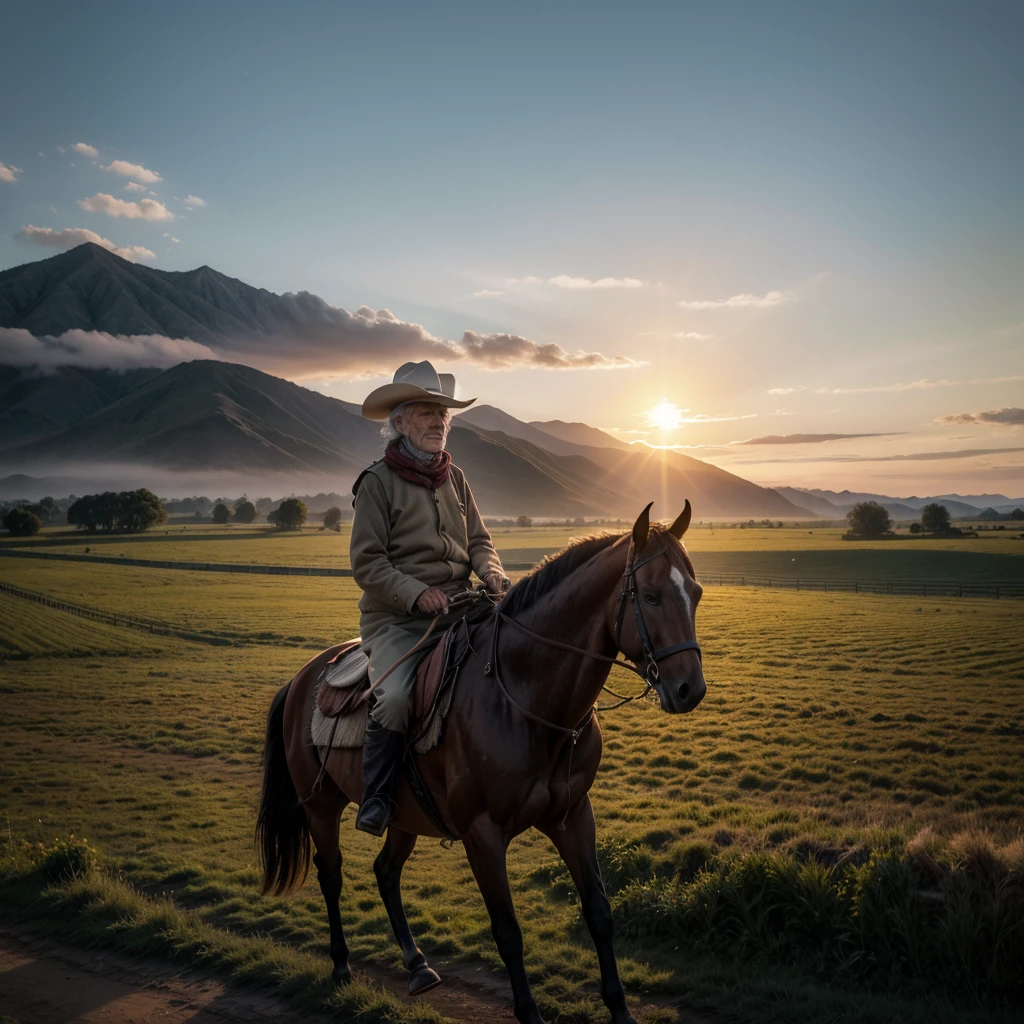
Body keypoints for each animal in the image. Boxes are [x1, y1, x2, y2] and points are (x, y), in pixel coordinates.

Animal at [256, 503, 704, 1024]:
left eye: (695, 593)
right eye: (650, 596)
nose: (690, 689)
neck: (525, 697)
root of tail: (303, 677)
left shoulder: (573, 816)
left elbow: (599, 910)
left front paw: (621, 1010)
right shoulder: (482, 832)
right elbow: (507, 931)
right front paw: (529, 1013)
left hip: (403, 815)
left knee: (386, 872)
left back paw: (417, 966)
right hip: (321, 808)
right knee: (331, 874)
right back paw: (342, 965)